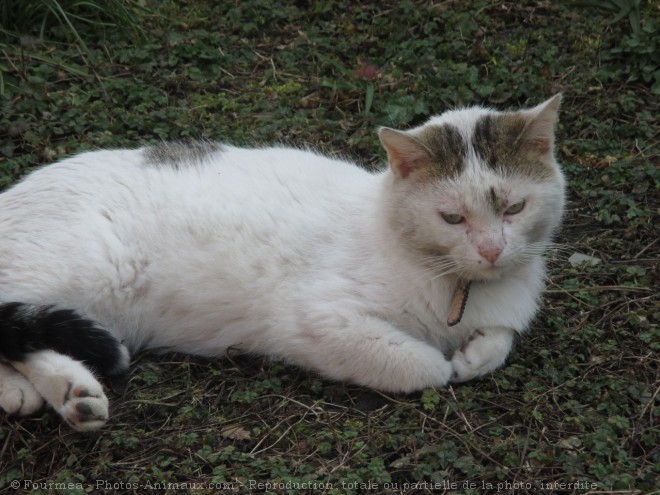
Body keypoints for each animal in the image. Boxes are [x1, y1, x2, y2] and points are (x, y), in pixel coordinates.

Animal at [0, 96, 564, 430]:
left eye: (514, 208)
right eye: (451, 217)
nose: (491, 249)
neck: (454, 286)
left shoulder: (506, 308)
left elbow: (500, 340)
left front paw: (475, 355)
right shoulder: (316, 320)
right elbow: (423, 366)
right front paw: (445, 363)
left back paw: (67, 396)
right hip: (83, 274)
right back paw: (55, 394)